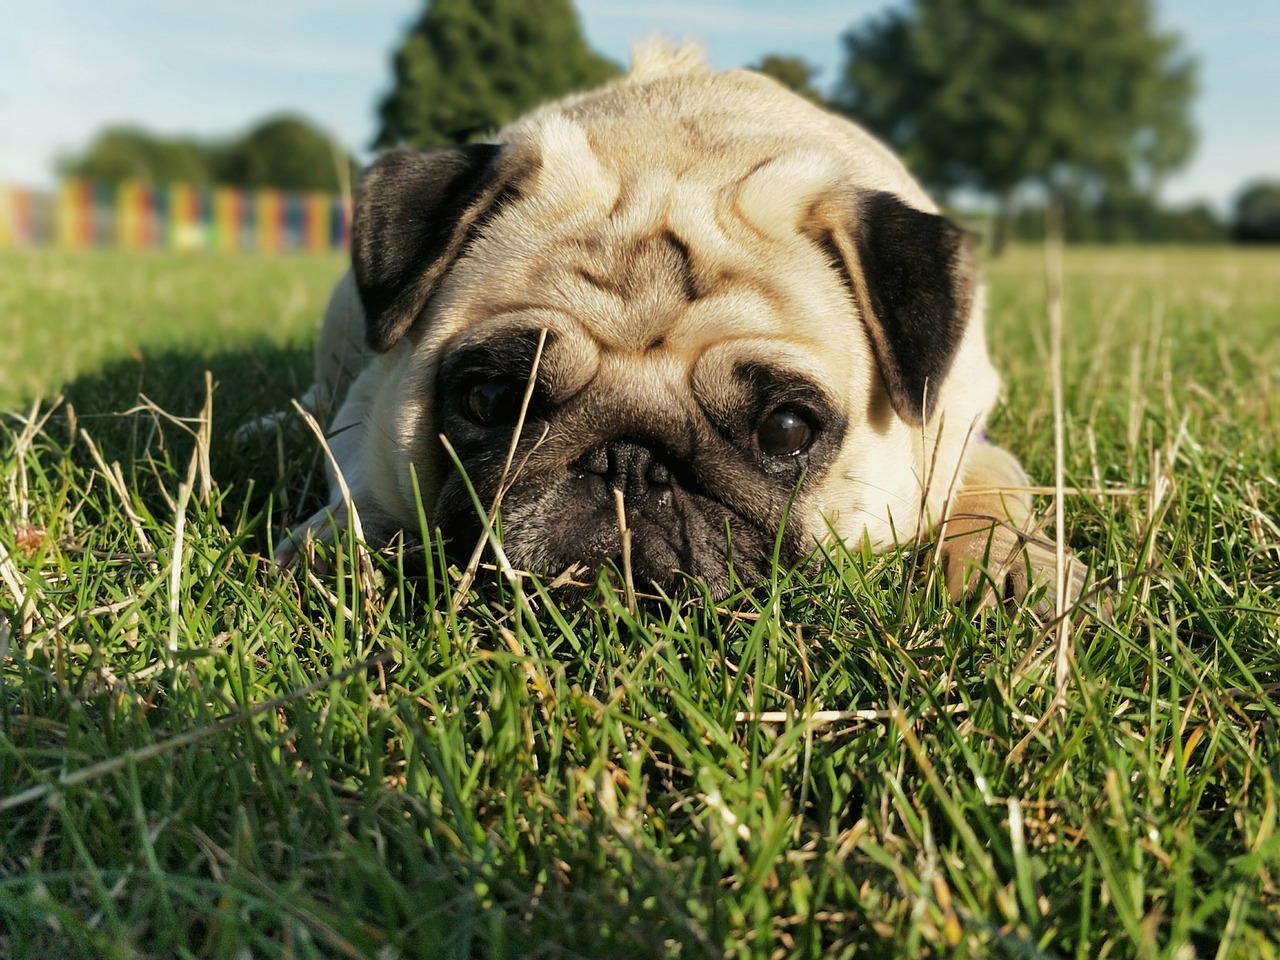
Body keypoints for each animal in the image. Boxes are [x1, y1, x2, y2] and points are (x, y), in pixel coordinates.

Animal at [264, 41, 1085, 611]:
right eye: (492, 399)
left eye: (786, 429)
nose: (628, 460)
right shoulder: (368, 411)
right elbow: (358, 482)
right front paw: (339, 548)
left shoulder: (961, 427)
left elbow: (989, 491)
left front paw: (1009, 567)